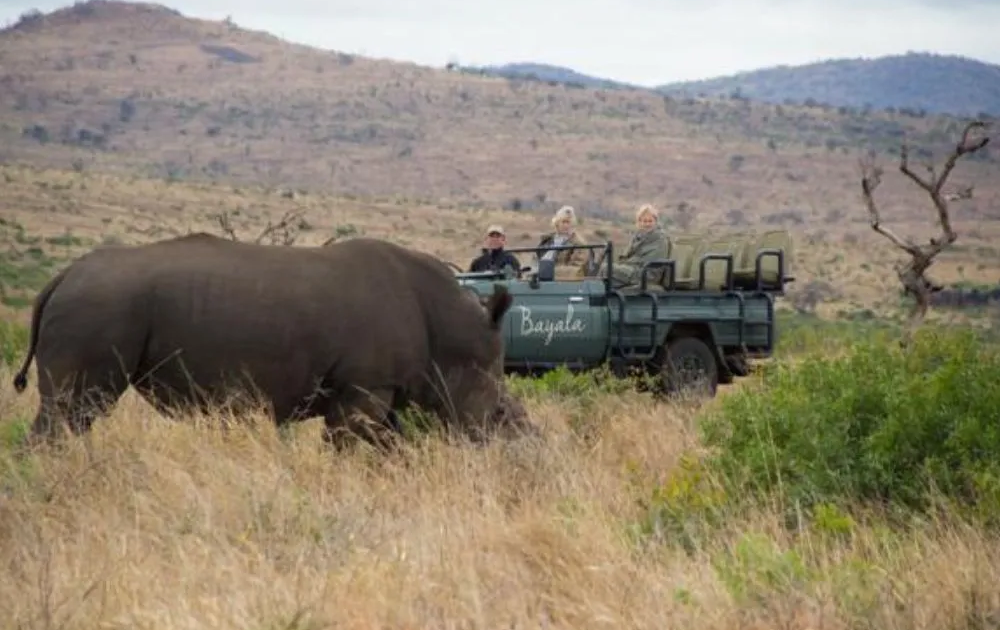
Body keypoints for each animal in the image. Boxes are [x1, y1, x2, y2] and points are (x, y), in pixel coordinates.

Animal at [12, 233, 522, 449]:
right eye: (501, 414)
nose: (522, 445)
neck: (452, 336)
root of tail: (60, 277)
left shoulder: (377, 389)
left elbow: (387, 449)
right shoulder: (364, 388)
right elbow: (353, 448)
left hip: (98, 304)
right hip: (98, 306)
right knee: (73, 411)